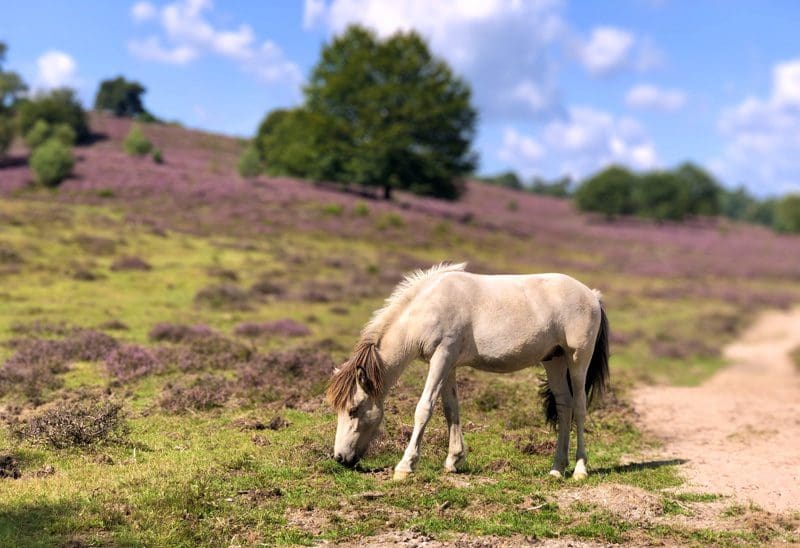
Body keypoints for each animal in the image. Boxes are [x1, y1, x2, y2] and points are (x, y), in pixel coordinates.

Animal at [328, 264, 608, 482]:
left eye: (354, 409)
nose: (340, 458)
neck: (429, 306)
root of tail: (591, 295)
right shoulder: (448, 364)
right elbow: (451, 410)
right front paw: (453, 460)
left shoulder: (442, 357)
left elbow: (424, 409)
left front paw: (405, 466)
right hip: (554, 362)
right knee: (564, 406)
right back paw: (556, 468)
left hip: (577, 361)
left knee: (579, 408)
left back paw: (580, 469)